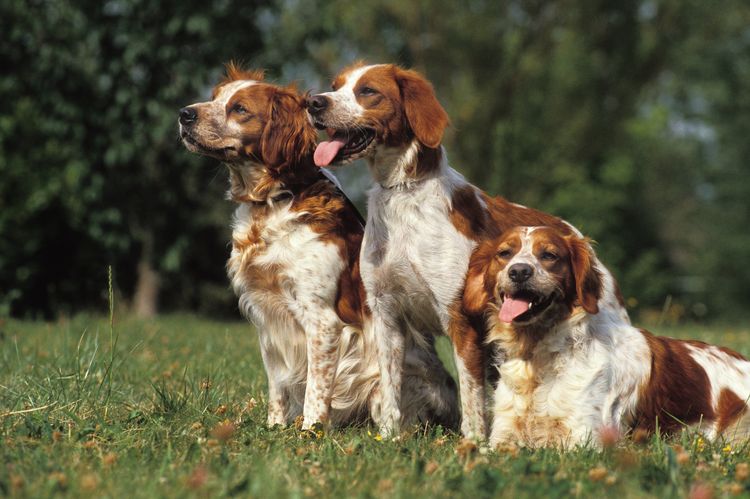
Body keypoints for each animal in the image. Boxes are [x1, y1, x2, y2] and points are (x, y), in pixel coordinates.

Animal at [177, 63, 462, 430]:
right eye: (214, 98)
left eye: (239, 109)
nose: (184, 113)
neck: (274, 202)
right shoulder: (267, 317)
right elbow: (277, 386)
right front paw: (275, 427)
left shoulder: (321, 320)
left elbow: (316, 386)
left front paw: (309, 431)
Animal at [308, 61, 632, 438]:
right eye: (335, 86)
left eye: (368, 91)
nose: (313, 102)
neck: (404, 194)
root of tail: (577, 239)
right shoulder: (386, 316)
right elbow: (390, 391)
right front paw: (389, 437)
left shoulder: (460, 320)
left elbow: (471, 395)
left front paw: (474, 442)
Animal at [468, 227, 748, 450]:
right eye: (504, 253)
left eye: (549, 255)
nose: (519, 271)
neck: (540, 353)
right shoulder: (502, 437)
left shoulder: (585, 441)